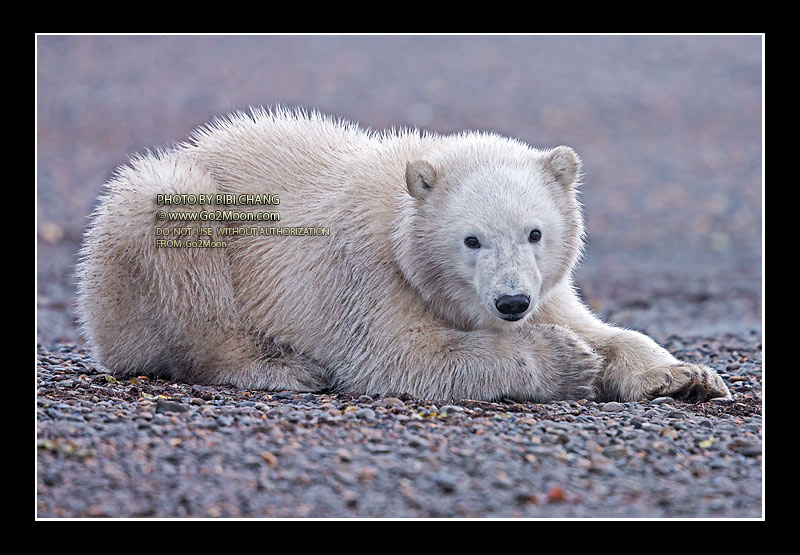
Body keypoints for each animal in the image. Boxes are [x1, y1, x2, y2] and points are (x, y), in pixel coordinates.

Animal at [75, 107, 731, 403]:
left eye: (535, 233)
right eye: (471, 239)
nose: (511, 302)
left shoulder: (546, 286)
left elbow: (600, 327)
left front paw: (685, 375)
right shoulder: (366, 270)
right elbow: (400, 358)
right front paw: (564, 361)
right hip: (155, 219)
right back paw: (279, 367)